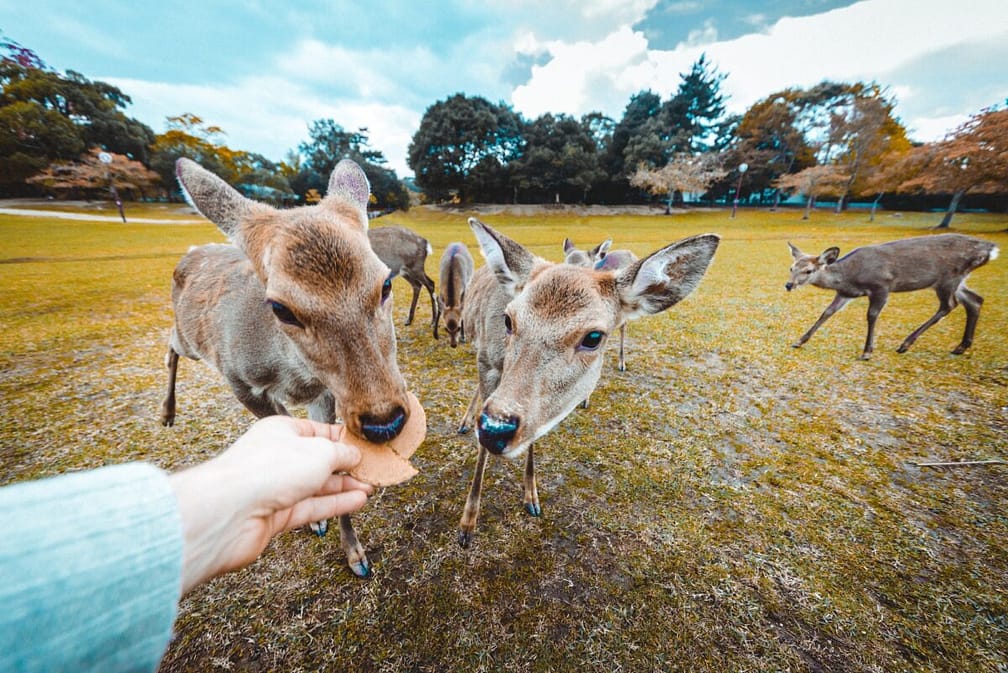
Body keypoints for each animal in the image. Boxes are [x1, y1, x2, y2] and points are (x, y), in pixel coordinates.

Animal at [157, 158, 409, 580]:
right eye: (280, 308)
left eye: (386, 284)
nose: (384, 421)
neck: (295, 377)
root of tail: (191, 251)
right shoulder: (240, 381)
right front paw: (318, 522)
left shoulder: (323, 394)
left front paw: (355, 555)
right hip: (192, 343)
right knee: (171, 342)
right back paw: (166, 412)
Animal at [457, 218, 717, 548]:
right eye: (508, 319)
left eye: (593, 337)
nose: (495, 429)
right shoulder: (488, 363)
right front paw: (467, 525)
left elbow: (532, 437)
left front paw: (532, 498)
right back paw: (465, 421)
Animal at [782, 232, 995, 360]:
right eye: (791, 268)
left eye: (809, 271)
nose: (789, 285)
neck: (850, 276)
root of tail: (990, 249)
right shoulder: (845, 293)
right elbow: (827, 312)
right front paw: (799, 341)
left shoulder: (881, 286)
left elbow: (871, 315)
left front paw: (867, 352)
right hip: (957, 280)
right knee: (974, 300)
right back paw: (961, 347)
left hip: (948, 278)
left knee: (949, 305)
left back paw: (905, 344)